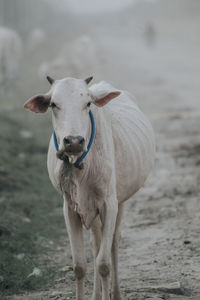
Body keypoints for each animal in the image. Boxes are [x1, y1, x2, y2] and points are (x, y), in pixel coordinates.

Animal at [24, 76, 155, 298]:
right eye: (53, 104)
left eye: (87, 104)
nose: (74, 141)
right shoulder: (70, 208)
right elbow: (79, 265)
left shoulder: (109, 204)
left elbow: (103, 263)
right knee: (96, 244)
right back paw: (97, 294)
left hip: (120, 201)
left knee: (113, 244)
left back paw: (115, 293)